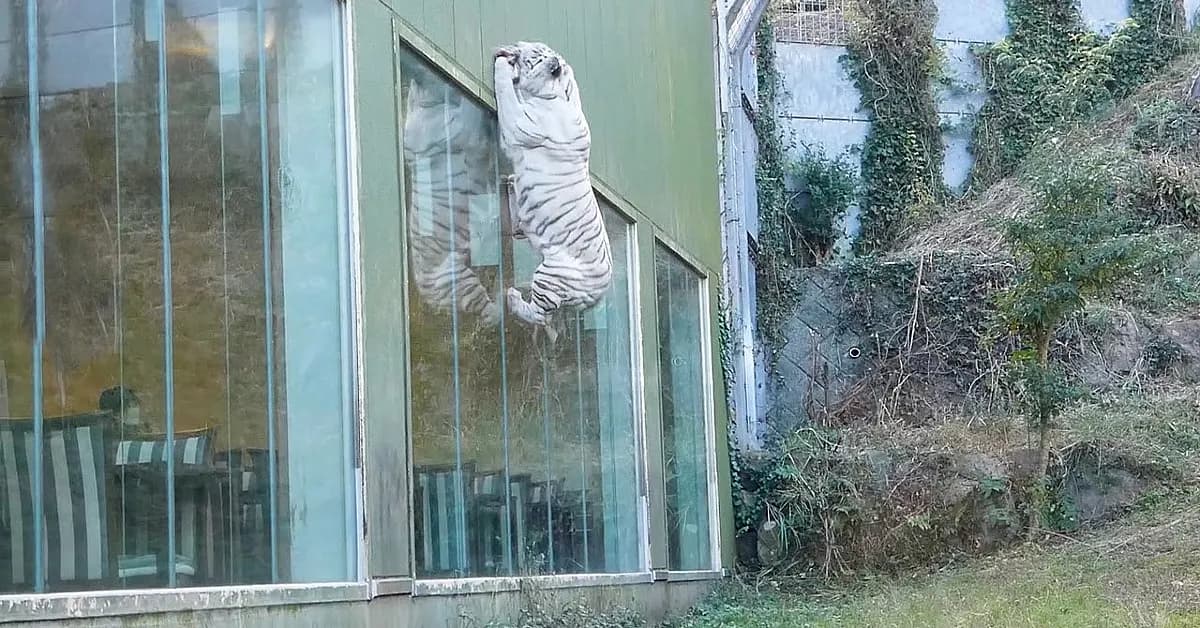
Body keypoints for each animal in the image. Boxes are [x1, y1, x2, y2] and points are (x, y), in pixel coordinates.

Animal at [492, 41, 614, 341]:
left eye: (530, 55)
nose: (515, 46)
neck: (560, 94)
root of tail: (600, 293)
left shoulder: (519, 124)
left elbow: (506, 93)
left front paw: (502, 64)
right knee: (551, 324)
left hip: (551, 276)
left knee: (538, 314)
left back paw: (512, 297)